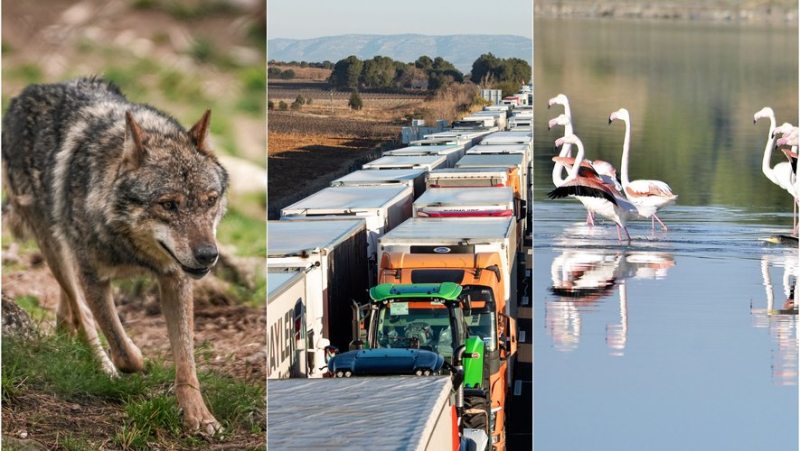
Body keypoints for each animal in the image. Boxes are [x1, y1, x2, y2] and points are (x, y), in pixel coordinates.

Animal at [3, 77, 228, 434]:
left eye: (211, 200)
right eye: (168, 204)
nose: (208, 255)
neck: (132, 249)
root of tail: (29, 91)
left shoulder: (175, 278)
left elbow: (186, 363)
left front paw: (200, 417)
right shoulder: (93, 277)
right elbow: (125, 353)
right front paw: (136, 357)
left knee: (70, 307)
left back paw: (65, 329)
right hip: (54, 247)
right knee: (81, 309)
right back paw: (101, 363)